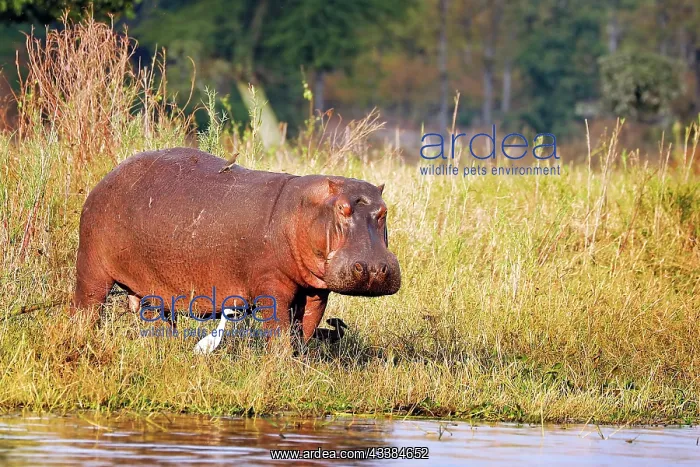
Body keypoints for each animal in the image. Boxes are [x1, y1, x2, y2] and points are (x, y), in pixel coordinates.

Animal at [72, 147, 401, 343]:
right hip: (91, 267)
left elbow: (306, 327)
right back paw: (81, 336)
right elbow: (278, 331)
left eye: (384, 211)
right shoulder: (271, 285)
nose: (373, 268)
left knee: (156, 319)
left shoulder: (316, 290)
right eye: (342, 209)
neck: (303, 208)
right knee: (86, 306)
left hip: (149, 287)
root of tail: (105, 179)